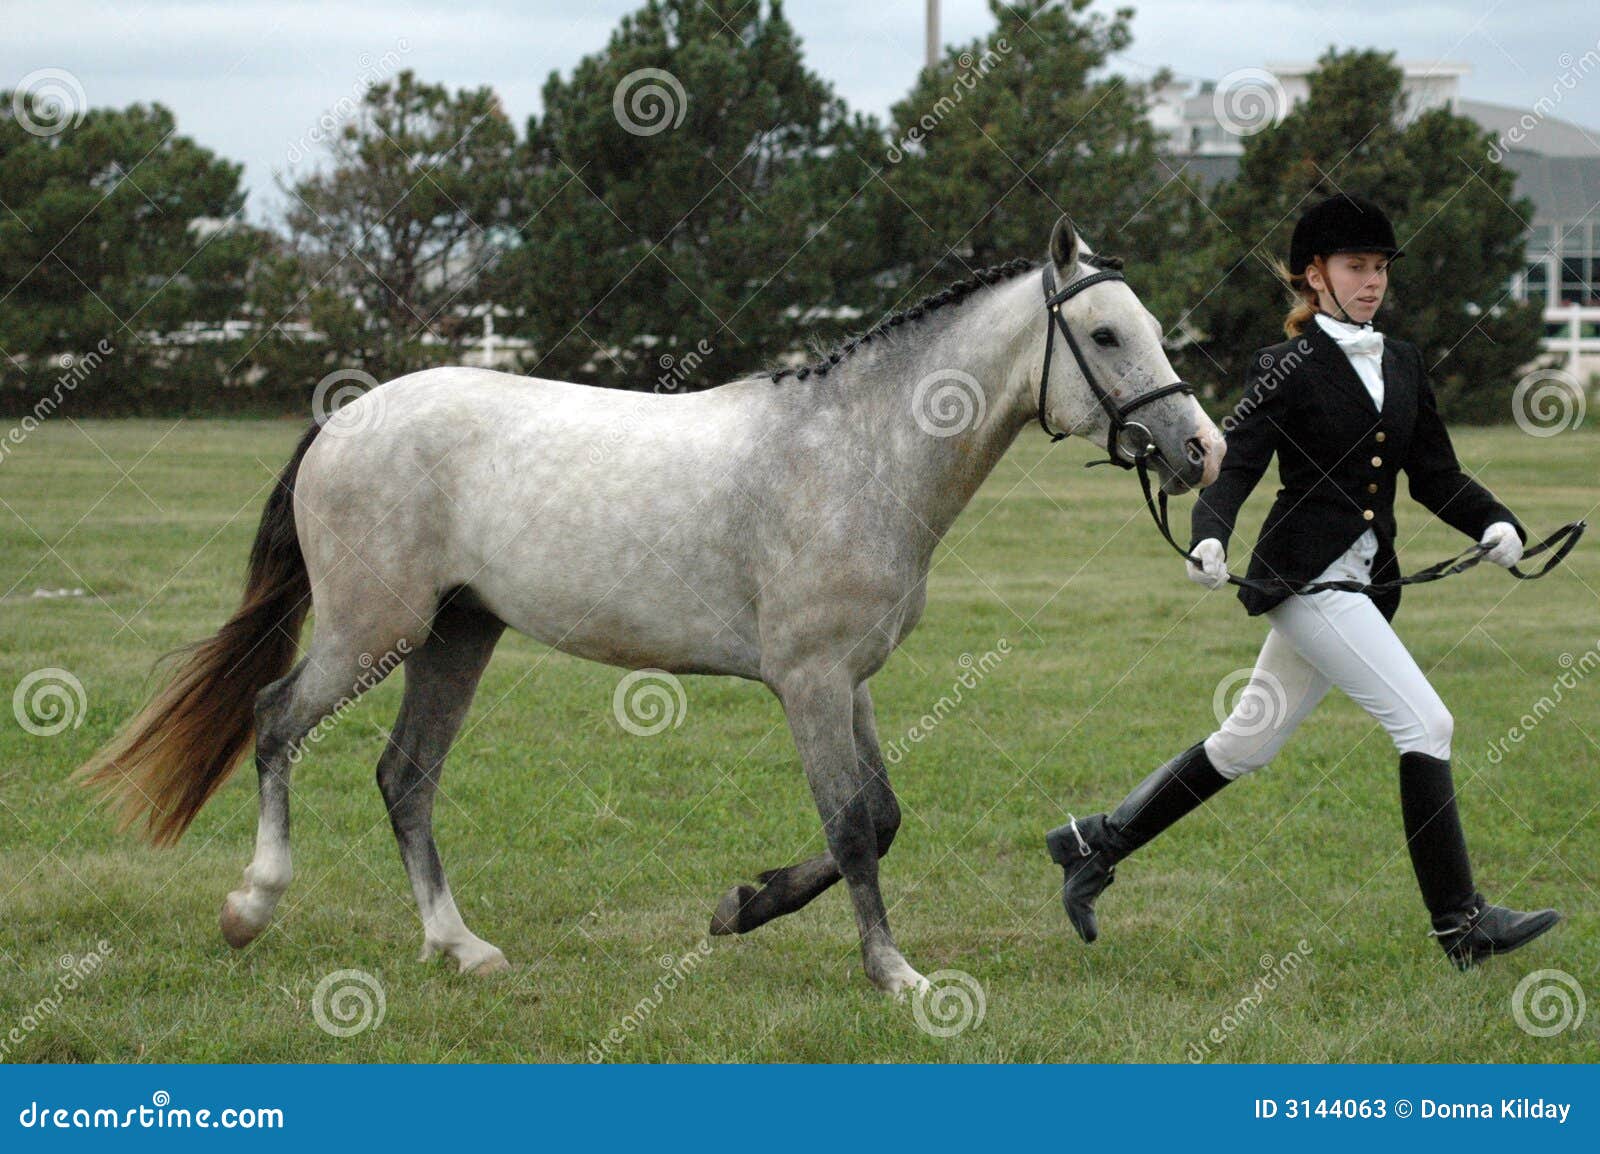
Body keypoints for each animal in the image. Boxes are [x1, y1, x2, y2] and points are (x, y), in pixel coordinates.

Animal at [77, 216, 1224, 996]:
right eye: (1107, 335)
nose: (1201, 449)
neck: (854, 451)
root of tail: (346, 417)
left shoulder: (848, 679)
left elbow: (884, 816)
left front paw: (744, 904)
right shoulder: (808, 681)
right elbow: (854, 824)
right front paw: (892, 973)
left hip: (456, 634)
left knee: (405, 777)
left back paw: (461, 946)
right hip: (374, 630)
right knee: (275, 721)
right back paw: (251, 904)